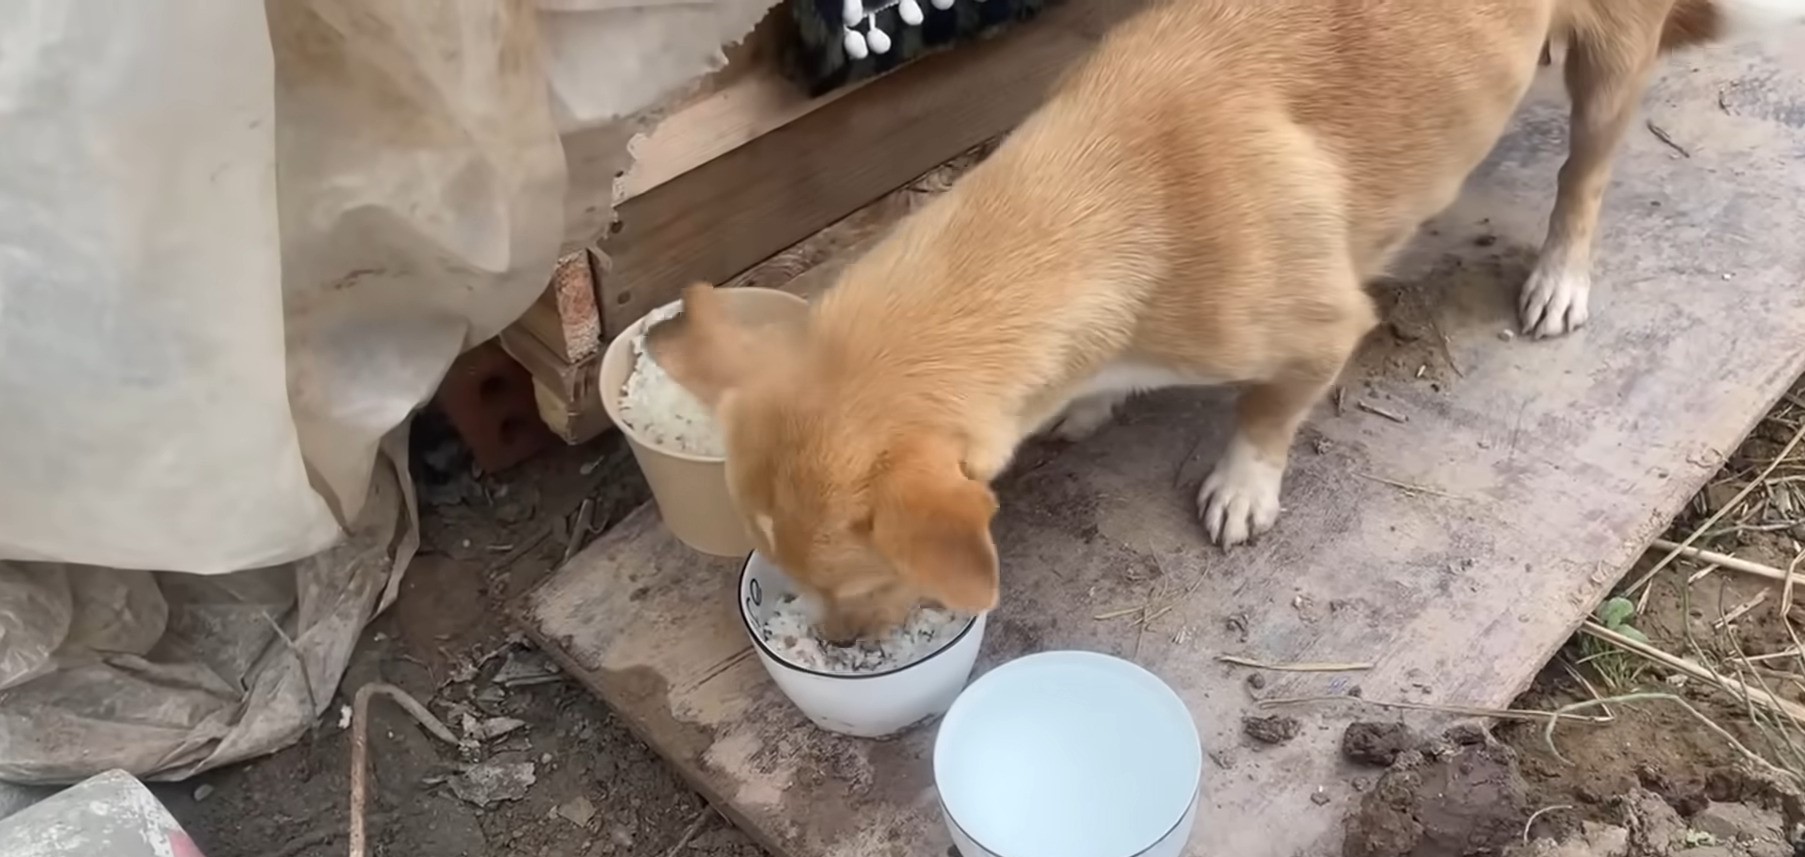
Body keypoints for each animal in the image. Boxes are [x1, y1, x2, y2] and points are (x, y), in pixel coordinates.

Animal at [664, 0, 1805, 642]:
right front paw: (1090, 406)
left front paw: (1242, 481)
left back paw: (1562, 272)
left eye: (862, 580)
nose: (839, 647)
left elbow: (1262, 414)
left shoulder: (1318, 333)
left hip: (1606, 70)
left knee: (1584, 175)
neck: (1095, 197)